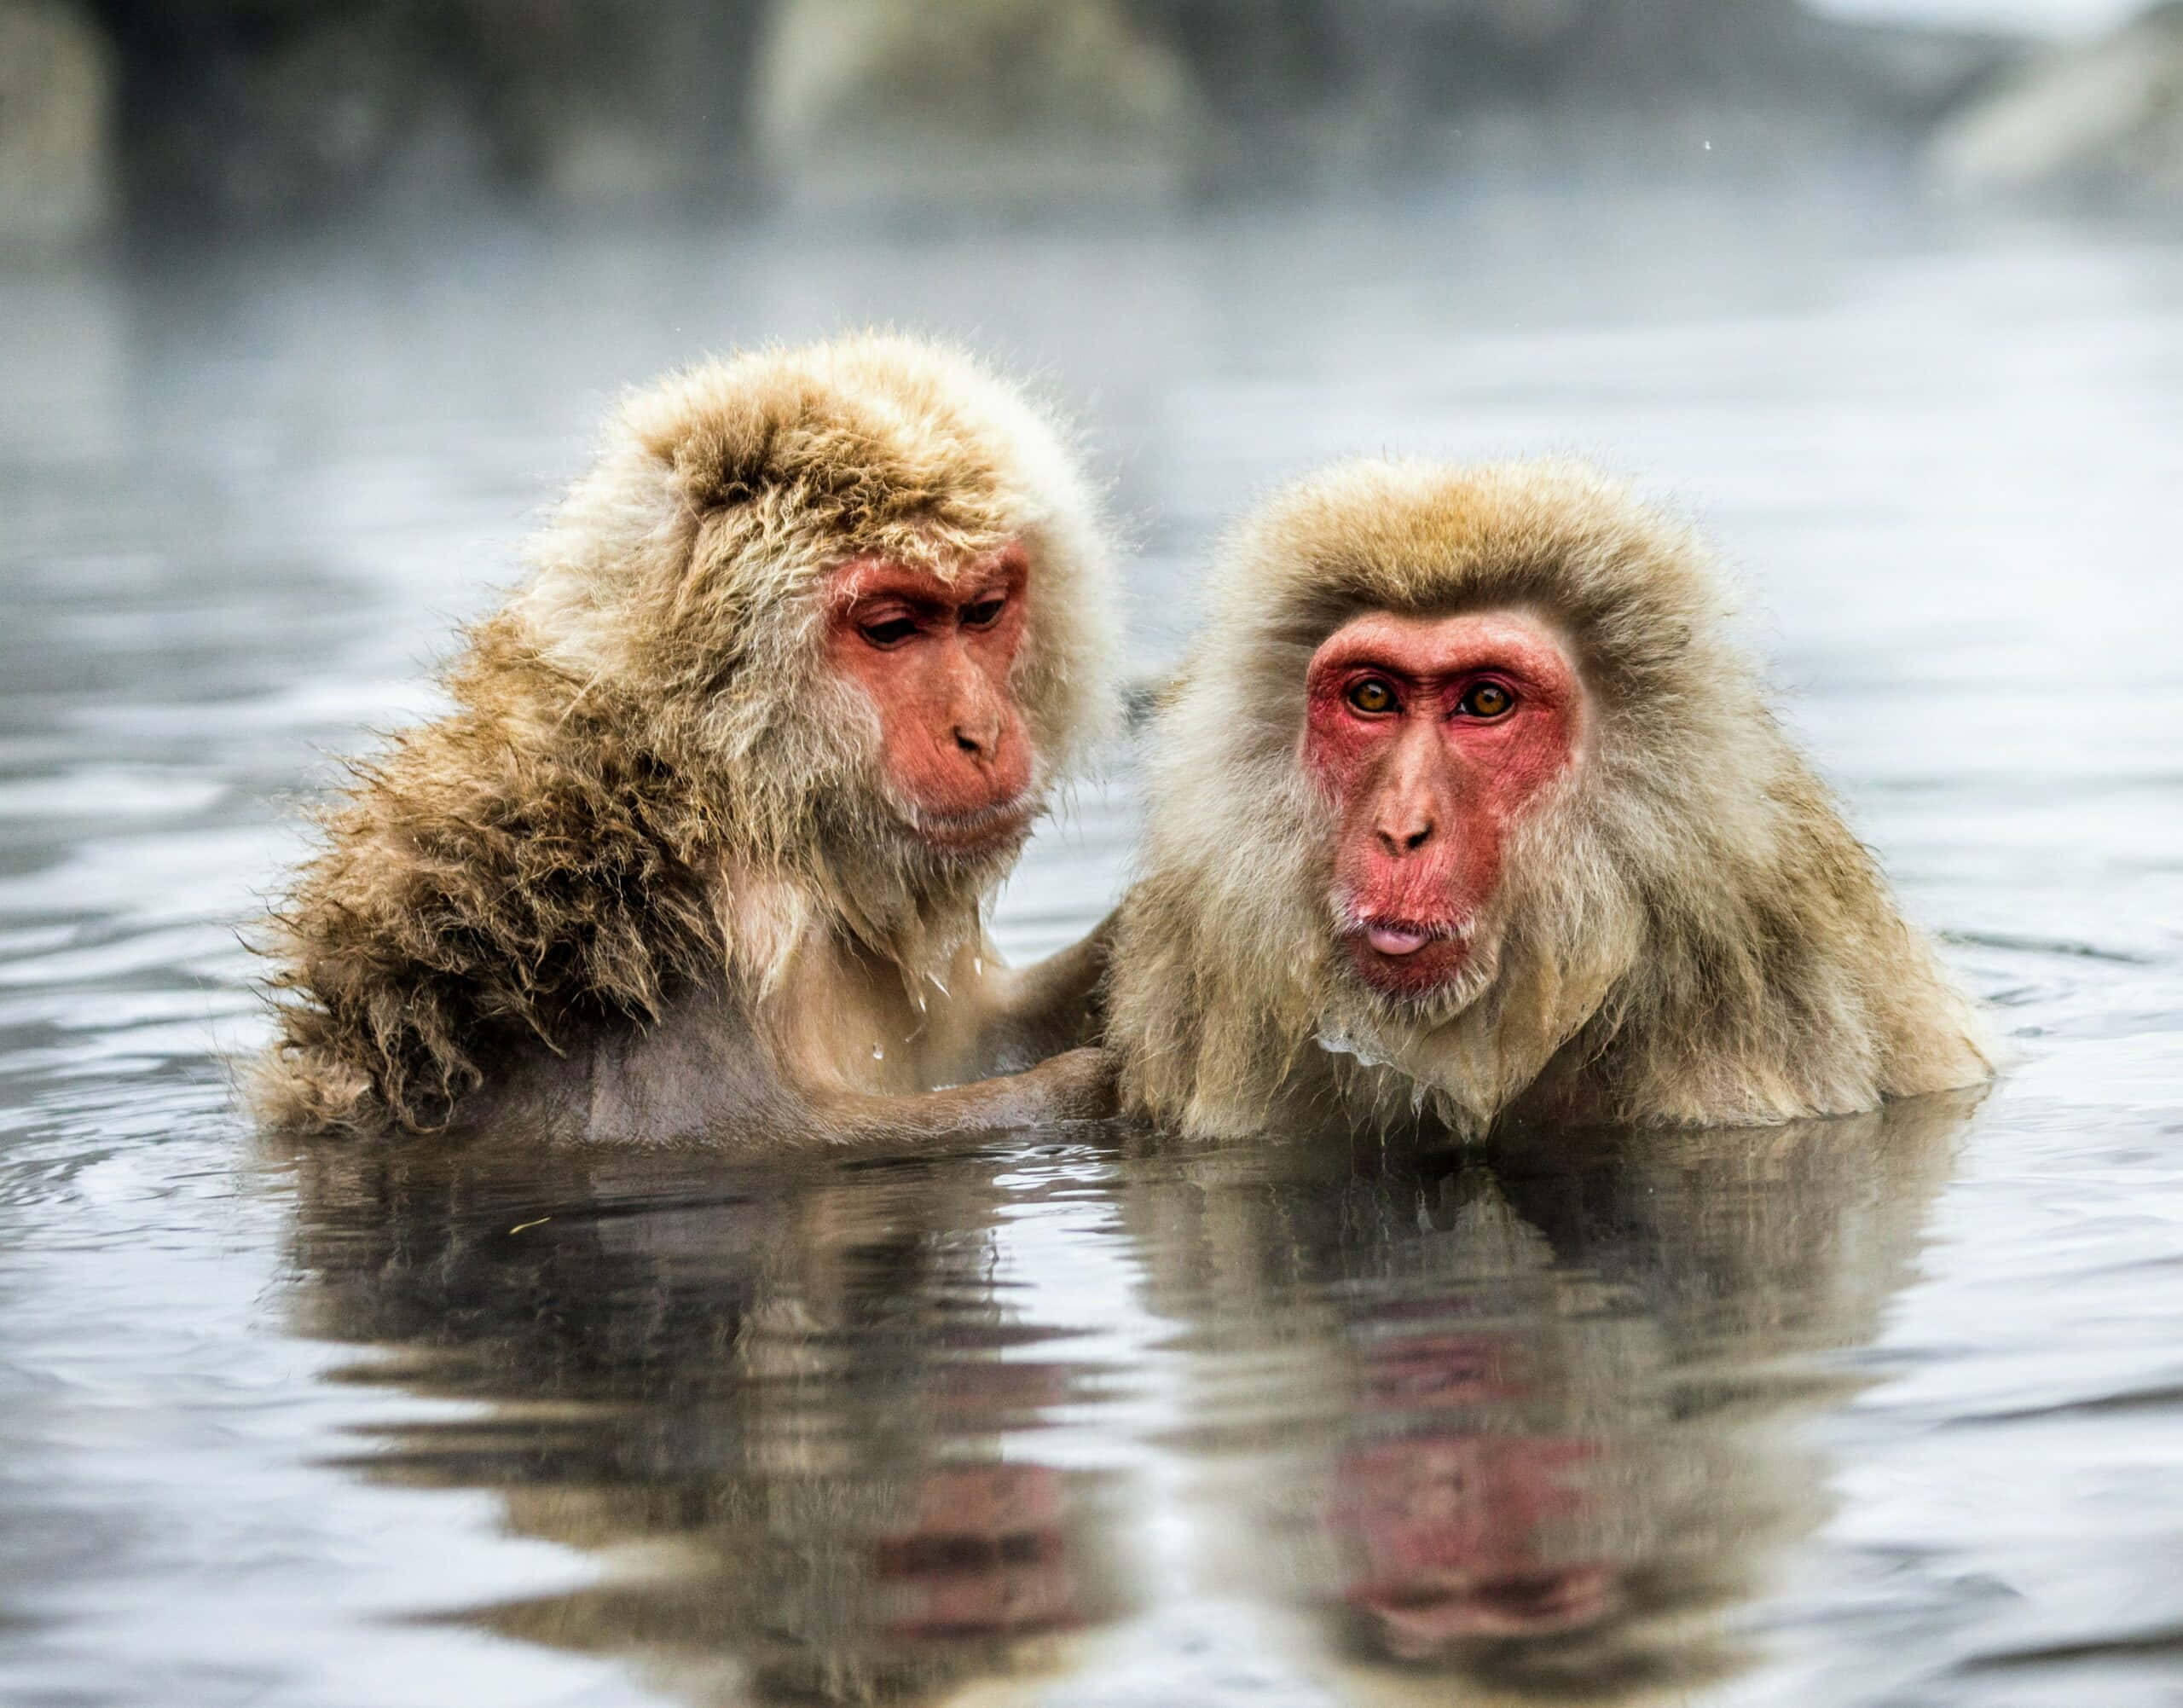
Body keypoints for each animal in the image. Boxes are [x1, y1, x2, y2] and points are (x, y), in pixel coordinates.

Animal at [255, 333, 1122, 1145]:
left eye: (983, 612)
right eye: (892, 628)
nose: (980, 732)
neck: (727, 786)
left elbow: (981, 1035)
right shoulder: (701, 944)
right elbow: (741, 1134)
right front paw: (1091, 1088)